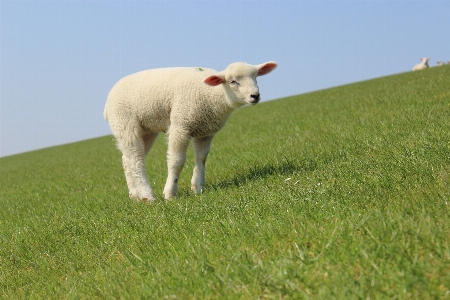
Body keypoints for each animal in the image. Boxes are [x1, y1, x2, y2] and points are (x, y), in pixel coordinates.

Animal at [104, 61, 278, 202]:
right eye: (233, 81)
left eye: (255, 77)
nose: (255, 95)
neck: (213, 94)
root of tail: (107, 104)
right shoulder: (181, 125)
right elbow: (177, 161)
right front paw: (170, 194)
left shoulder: (206, 132)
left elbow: (202, 158)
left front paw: (198, 188)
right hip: (125, 124)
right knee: (136, 160)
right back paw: (148, 196)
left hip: (146, 130)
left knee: (127, 160)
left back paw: (135, 195)